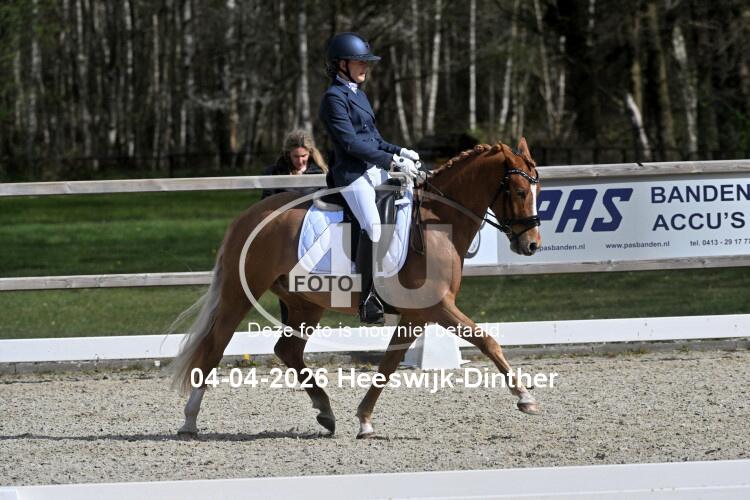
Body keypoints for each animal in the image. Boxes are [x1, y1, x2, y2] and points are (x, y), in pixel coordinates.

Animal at [170, 138, 542, 439]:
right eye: (520, 192)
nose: (532, 245)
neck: (438, 221)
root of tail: (248, 216)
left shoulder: (417, 314)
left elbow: (389, 364)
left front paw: (364, 420)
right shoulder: (438, 306)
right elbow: (487, 341)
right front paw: (526, 398)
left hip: (305, 303)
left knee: (287, 350)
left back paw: (325, 412)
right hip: (240, 293)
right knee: (215, 347)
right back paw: (189, 421)